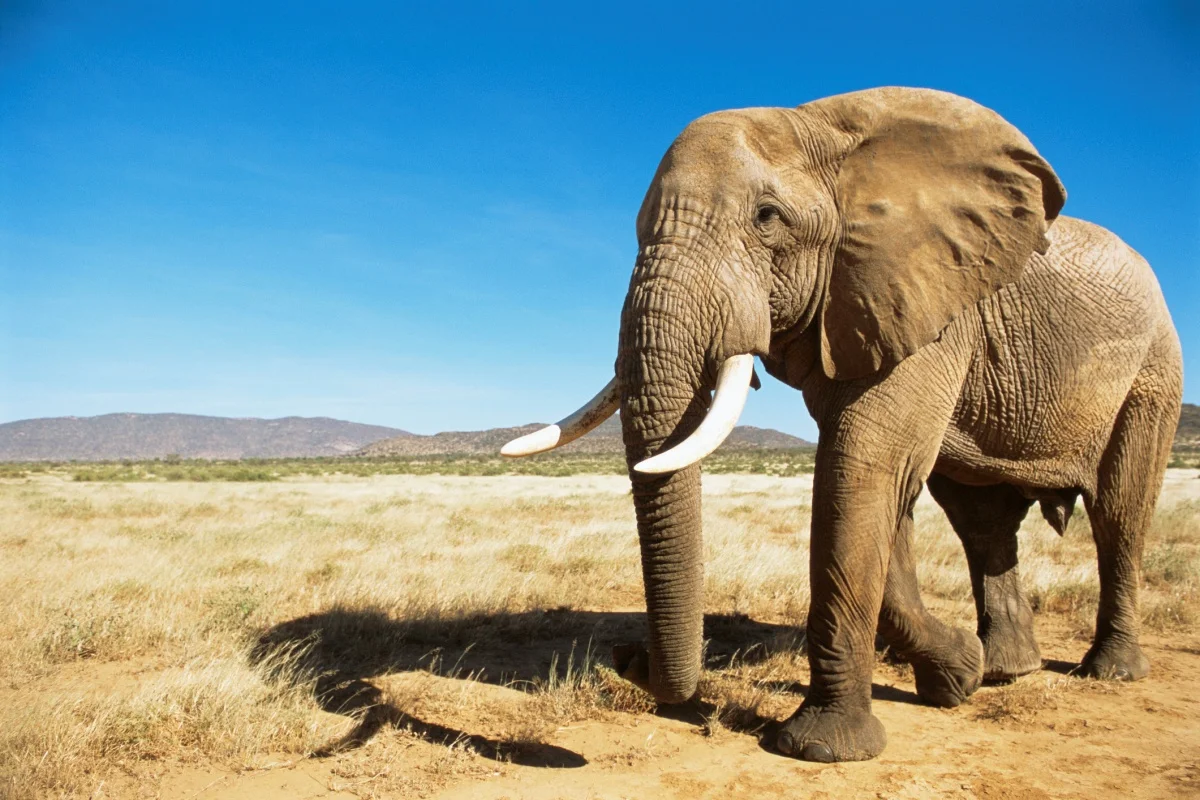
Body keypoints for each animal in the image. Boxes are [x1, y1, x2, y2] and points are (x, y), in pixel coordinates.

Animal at [500, 87, 1183, 762]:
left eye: (766, 218)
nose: (627, 656)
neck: (823, 128)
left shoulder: (925, 301)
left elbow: (861, 470)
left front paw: (822, 748)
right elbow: (880, 487)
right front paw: (955, 676)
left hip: (1153, 371)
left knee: (1119, 511)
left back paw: (1109, 671)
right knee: (982, 522)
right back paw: (1004, 671)